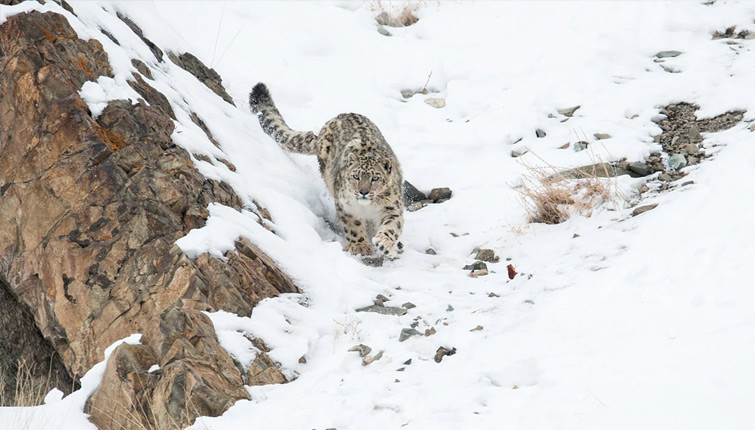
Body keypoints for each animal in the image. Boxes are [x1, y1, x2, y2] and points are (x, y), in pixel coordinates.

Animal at [251, 84, 404, 258]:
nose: (363, 192)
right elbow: (353, 226)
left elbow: (392, 226)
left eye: (375, 178)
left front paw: (385, 244)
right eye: (356, 176)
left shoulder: (392, 207)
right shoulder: (345, 206)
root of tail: (339, 115)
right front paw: (360, 246)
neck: (367, 207)